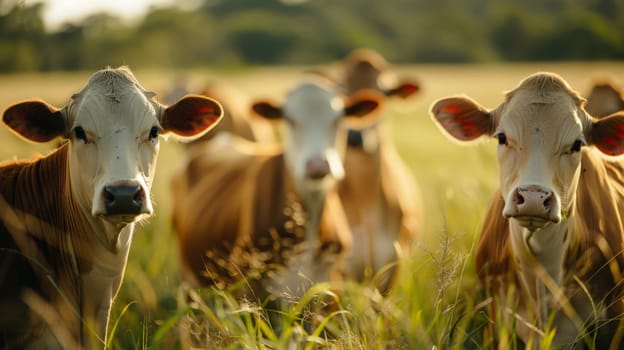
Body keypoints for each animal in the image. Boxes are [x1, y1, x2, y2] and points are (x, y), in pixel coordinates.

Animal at [172, 75, 386, 308]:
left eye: (338, 121)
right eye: (290, 120)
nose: (317, 165)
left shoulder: (330, 283)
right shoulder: (250, 285)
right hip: (187, 276)